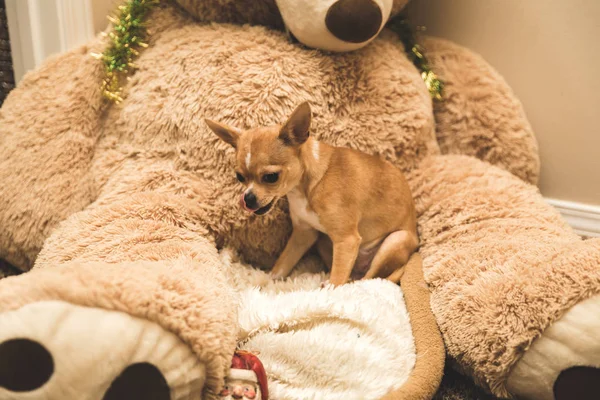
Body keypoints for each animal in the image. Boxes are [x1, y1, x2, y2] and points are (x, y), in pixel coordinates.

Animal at [206, 101, 418, 286]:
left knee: (368, 279)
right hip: (324, 242)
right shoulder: (303, 235)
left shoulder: (347, 240)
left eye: (271, 177)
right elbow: (282, 265)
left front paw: (331, 290)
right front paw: (265, 282)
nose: (248, 199)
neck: (305, 188)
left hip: (395, 240)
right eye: (239, 177)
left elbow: (338, 280)